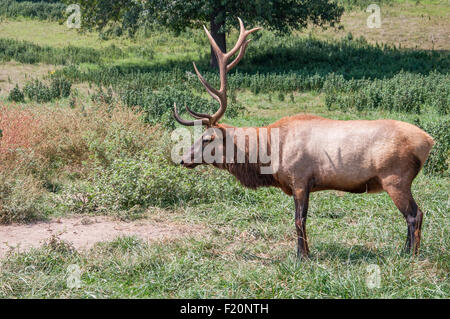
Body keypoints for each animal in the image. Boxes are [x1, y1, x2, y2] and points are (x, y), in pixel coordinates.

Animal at [174, 18, 434, 260]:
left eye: (207, 138)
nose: (183, 159)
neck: (268, 155)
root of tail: (428, 141)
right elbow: (301, 220)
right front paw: (304, 253)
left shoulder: (300, 178)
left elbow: (299, 220)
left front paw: (302, 256)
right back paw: (404, 251)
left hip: (395, 178)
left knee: (415, 214)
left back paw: (410, 255)